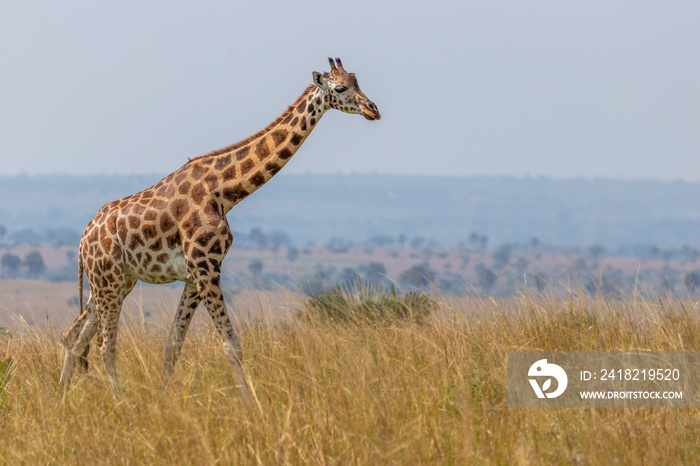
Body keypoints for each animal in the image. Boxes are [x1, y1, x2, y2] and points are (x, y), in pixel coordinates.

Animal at [57, 58, 380, 394]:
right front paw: (252, 401)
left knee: (74, 338)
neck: (225, 191)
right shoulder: (206, 266)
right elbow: (231, 345)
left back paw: (63, 397)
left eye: (356, 81)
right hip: (108, 281)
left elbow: (173, 345)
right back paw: (118, 400)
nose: (373, 109)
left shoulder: (194, 275)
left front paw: (162, 398)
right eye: (340, 88)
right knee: (104, 345)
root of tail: (82, 240)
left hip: (114, 282)